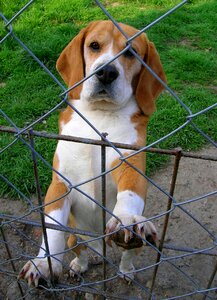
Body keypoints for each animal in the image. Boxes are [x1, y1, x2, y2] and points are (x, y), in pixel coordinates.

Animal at [19, 20, 167, 284]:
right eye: (94, 45)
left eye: (131, 52)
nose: (106, 72)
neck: (99, 116)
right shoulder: (60, 183)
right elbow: (52, 228)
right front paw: (43, 264)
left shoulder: (130, 165)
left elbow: (129, 194)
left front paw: (126, 220)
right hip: (74, 236)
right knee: (80, 248)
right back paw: (81, 263)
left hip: (139, 245)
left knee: (127, 255)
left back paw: (126, 269)